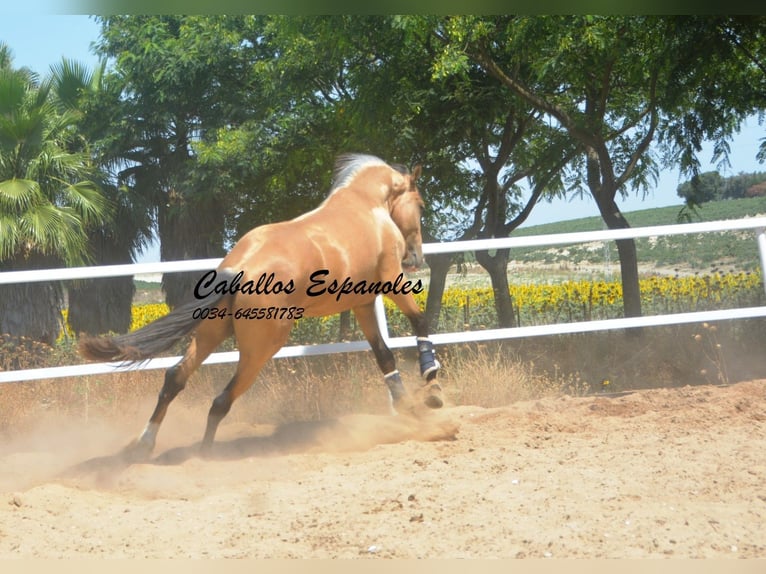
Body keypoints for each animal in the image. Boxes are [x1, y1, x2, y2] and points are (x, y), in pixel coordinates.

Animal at [79, 153, 443, 459]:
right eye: (421, 205)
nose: (415, 258)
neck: (366, 204)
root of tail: (238, 269)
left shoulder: (364, 302)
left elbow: (384, 355)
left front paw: (406, 406)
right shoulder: (391, 280)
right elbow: (420, 321)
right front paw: (432, 383)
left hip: (211, 335)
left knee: (174, 379)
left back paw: (144, 444)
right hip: (262, 349)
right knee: (220, 400)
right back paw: (204, 457)